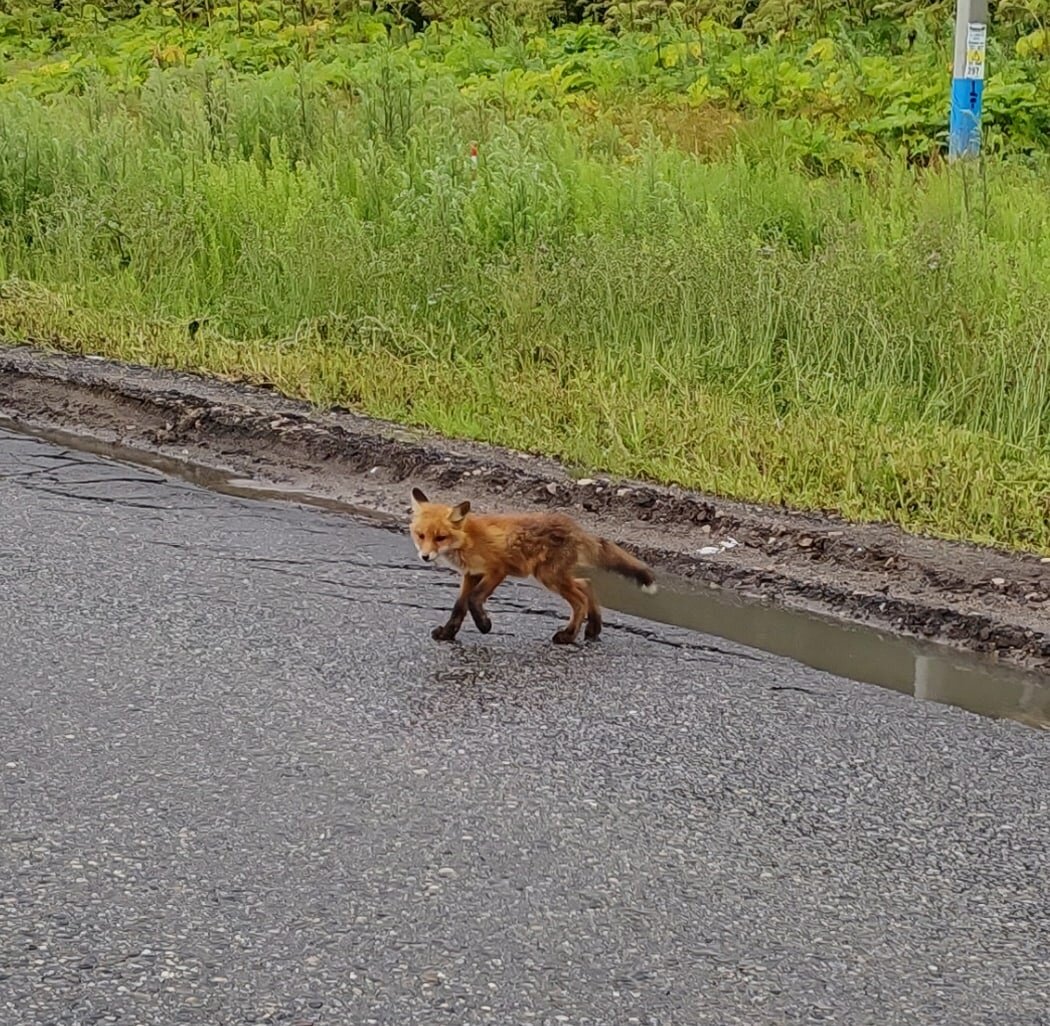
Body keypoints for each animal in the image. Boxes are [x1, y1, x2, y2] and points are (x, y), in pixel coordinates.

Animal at [409, 487, 655, 642]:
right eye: (421, 536)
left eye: (440, 538)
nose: (425, 557)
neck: (468, 540)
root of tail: (574, 527)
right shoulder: (471, 574)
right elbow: (458, 607)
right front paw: (447, 634)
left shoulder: (497, 570)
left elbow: (473, 600)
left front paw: (484, 624)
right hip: (554, 576)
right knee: (586, 583)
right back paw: (593, 629)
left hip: (549, 576)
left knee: (580, 601)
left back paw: (568, 636)